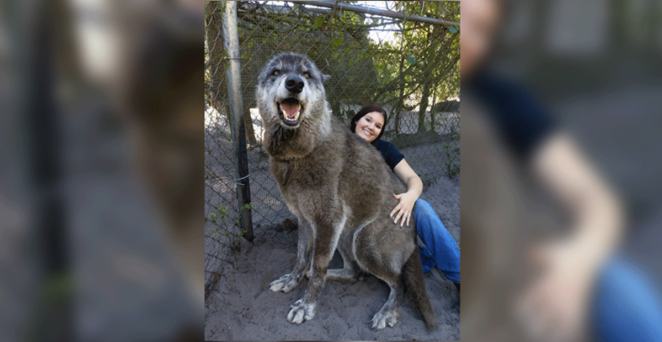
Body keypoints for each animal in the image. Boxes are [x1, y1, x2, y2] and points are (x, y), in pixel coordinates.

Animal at [256, 52, 438, 330]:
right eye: (276, 72)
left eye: (307, 74)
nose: (295, 83)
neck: (298, 154)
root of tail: (414, 236)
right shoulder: (306, 220)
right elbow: (301, 258)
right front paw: (292, 280)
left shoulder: (327, 220)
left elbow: (317, 266)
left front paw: (307, 306)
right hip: (344, 235)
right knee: (354, 273)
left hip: (362, 242)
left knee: (399, 283)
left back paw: (387, 311)